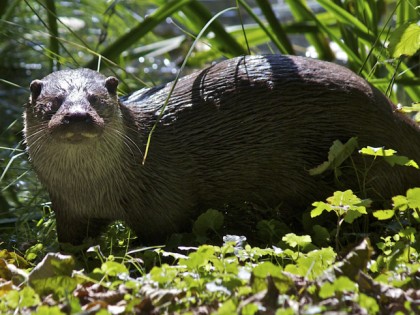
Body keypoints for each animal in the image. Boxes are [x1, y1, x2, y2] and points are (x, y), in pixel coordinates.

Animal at [23, 55, 420, 246]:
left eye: (97, 99)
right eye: (52, 103)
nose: (76, 116)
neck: (94, 189)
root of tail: (394, 115)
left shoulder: (162, 203)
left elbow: (161, 234)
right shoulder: (69, 208)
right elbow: (71, 241)